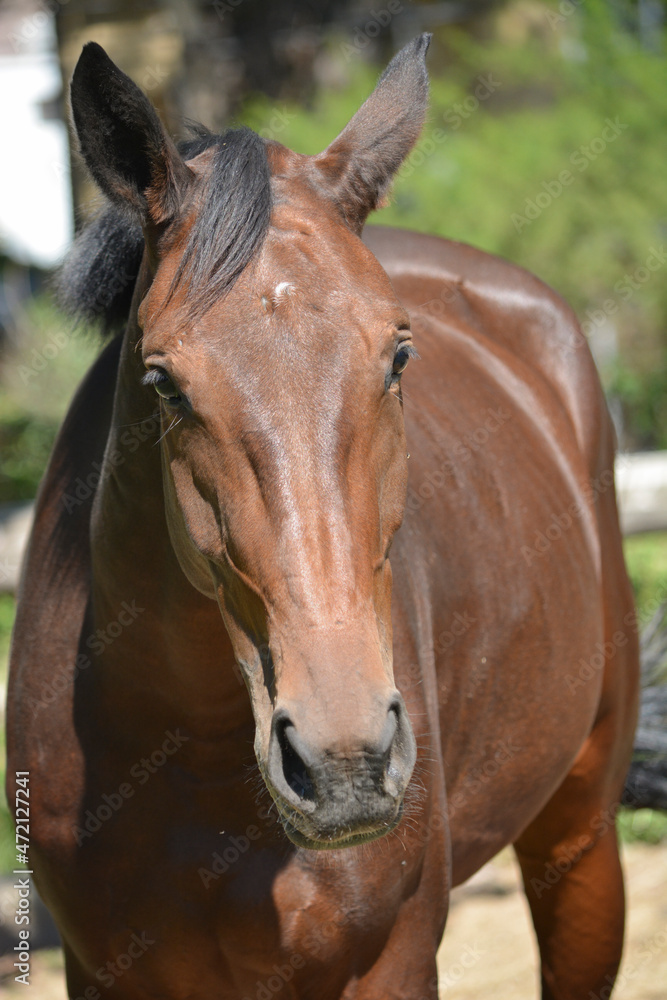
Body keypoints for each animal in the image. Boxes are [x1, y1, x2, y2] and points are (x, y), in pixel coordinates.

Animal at [6, 35, 639, 1000]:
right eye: (163, 382)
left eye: (399, 356)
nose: (346, 760)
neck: (194, 755)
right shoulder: (101, 969)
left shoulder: (391, 960)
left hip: (580, 838)